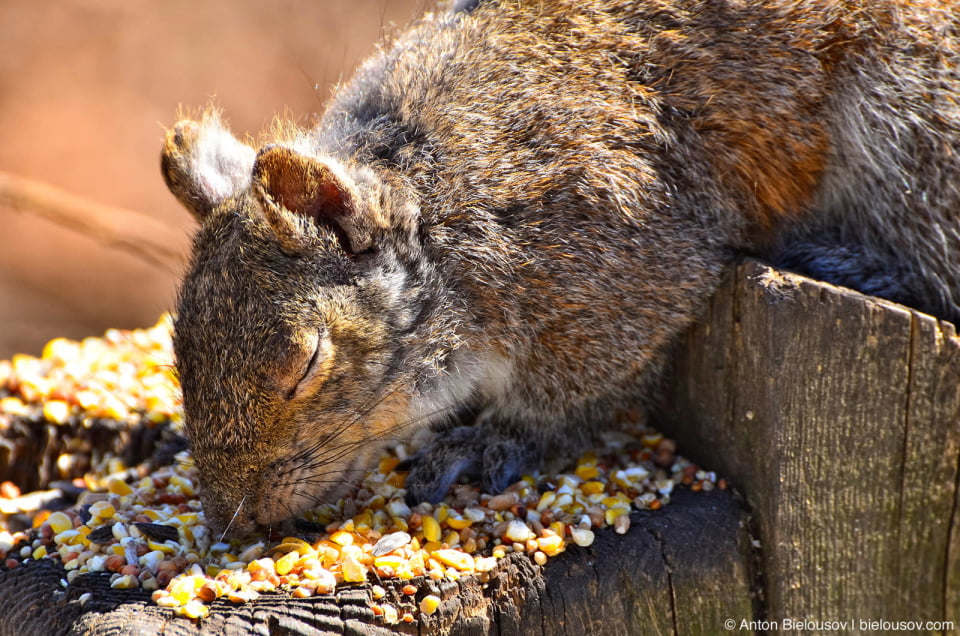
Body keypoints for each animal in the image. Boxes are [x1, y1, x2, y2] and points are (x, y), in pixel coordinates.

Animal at [161, 0, 960, 536]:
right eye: (179, 356)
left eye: (305, 365)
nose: (234, 520)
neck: (446, 219)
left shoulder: (620, 267)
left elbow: (573, 391)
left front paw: (498, 438)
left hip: (915, 127)